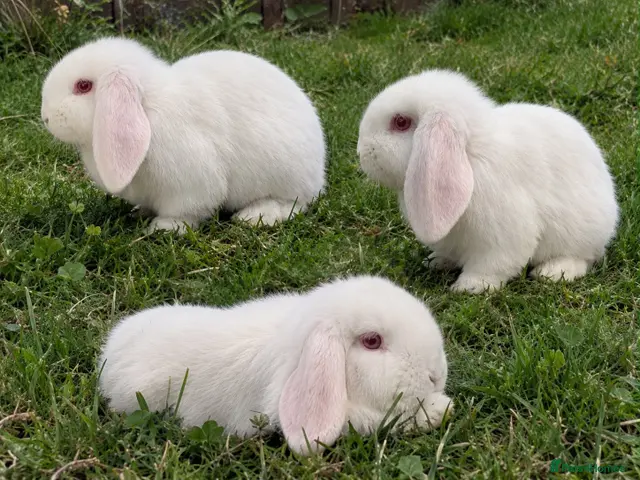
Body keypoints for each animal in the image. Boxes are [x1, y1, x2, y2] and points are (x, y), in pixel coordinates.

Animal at [40, 37, 326, 233]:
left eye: (83, 86)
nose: (46, 117)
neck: (148, 110)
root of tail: (320, 173)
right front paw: (139, 212)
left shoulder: (191, 184)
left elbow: (187, 211)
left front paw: (163, 228)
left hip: (285, 177)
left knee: (294, 203)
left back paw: (256, 216)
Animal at [357, 69, 619, 293]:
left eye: (400, 122)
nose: (361, 152)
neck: (470, 157)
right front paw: (437, 261)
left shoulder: (502, 235)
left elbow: (493, 265)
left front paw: (470, 286)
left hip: (580, 234)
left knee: (584, 257)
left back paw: (552, 272)